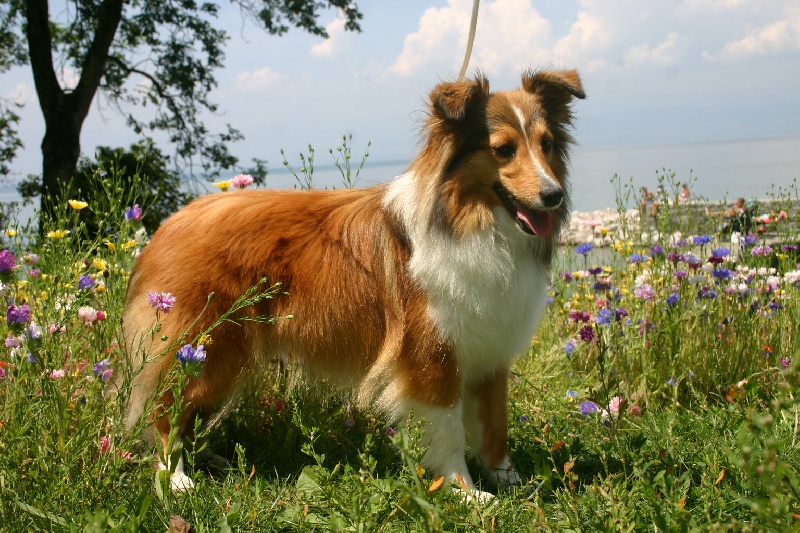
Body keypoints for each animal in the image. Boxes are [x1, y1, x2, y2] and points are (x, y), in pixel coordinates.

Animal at [123, 68, 588, 496]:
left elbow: (495, 424)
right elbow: (450, 431)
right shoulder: (432, 355)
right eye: (503, 150)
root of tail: (166, 226)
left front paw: (513, 482)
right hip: (207, 348)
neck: (469, 220)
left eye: (547, 144)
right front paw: (466, 492)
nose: (554, 196)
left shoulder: (491, 349)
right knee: (165, 411)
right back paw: (175, 479)